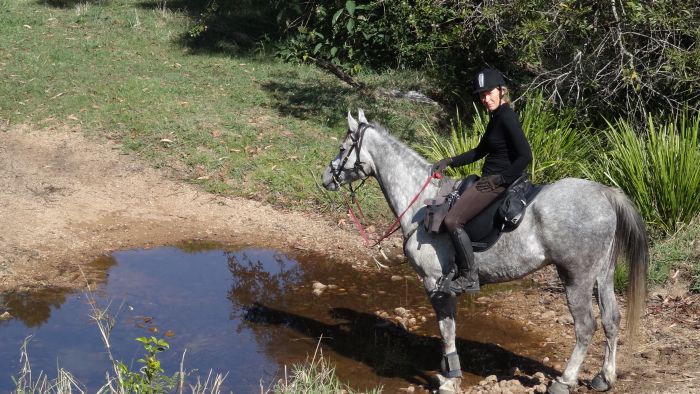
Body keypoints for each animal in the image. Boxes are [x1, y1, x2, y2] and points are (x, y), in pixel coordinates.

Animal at [320, 110, 648, 394]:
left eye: (342, 147)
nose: (325, 178)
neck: (423, 204)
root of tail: (604, 193)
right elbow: (448, 329)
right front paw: (447, 371)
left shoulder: (435, 283)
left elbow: (447, 329)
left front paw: (451, 378)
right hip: (602, 275)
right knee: (611, 320)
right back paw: (604, 377)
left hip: (576, 278)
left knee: (585, 326)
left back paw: (564, 381)